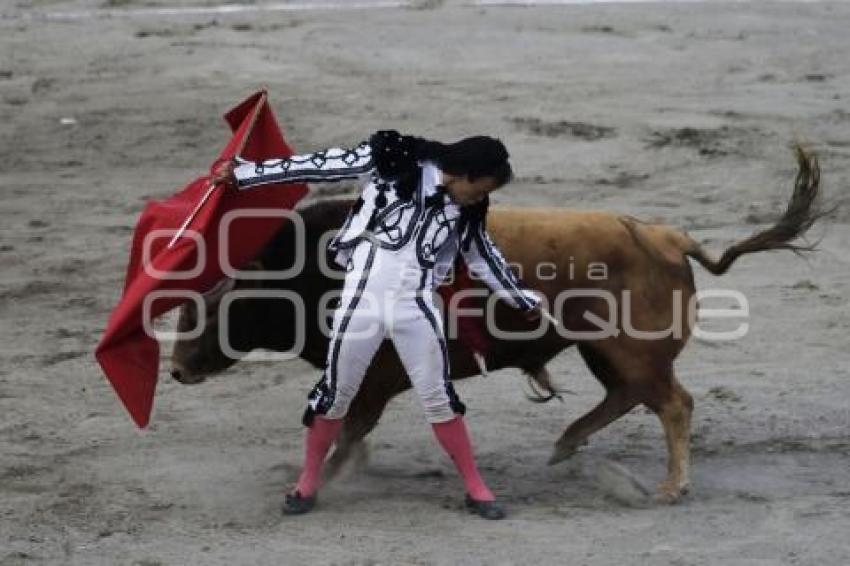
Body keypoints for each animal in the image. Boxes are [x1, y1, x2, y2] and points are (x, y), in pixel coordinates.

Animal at [169, 146, 820, 502]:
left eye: (218, 307)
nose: (176, 371)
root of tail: (666, 235)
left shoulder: (377, 377)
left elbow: (349, 428)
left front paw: (328, 479)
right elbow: (345, 426)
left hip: (630, 347)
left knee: (672, 403)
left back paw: (669, 486)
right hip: (604, 350)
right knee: (629, 395)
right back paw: (566, 445)